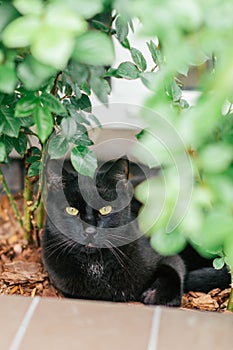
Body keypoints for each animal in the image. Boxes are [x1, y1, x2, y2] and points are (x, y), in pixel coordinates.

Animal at [41, 157, 229, 304]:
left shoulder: (169, 257)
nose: (90, 231)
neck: (95, 265)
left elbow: (172, 271)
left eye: (106, 209)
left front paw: (153, 294)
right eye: (71, 210)